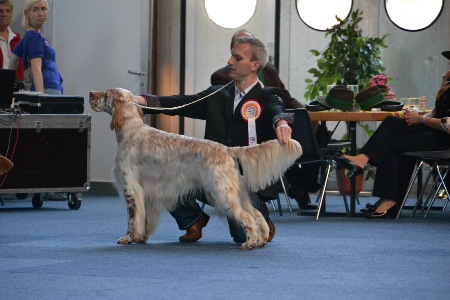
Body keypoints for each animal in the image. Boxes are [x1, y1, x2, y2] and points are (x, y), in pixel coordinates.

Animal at [89, 88, 302, 248]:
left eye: (106, 93)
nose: (91, 93)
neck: (131, 130)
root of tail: (227, 149)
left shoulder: (131, 187)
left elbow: (133, 219)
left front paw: (128, 238)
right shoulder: (148, 192)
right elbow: (145, 219)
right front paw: (142, 238)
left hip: (221, 193)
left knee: (246, 217)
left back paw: (249, 242)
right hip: (236, 193)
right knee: (256, 214)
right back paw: (261, 239)